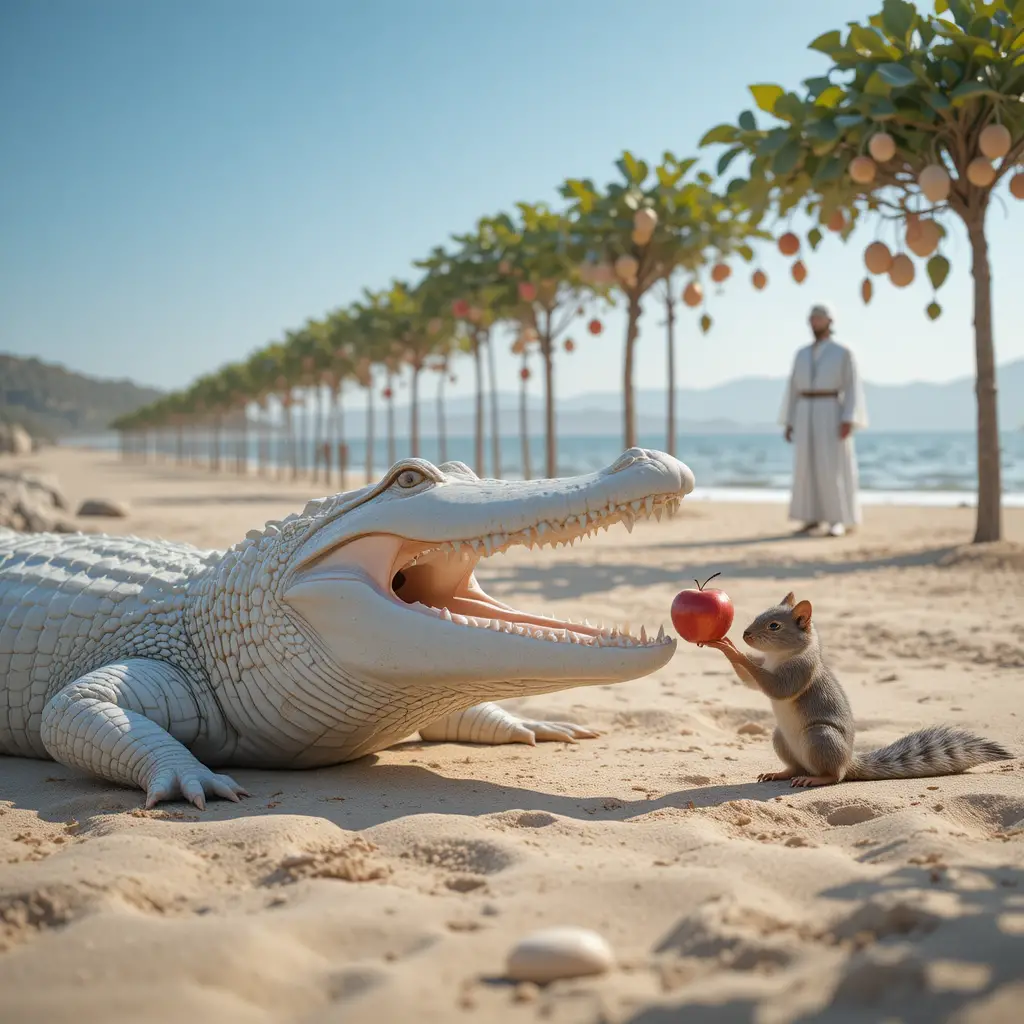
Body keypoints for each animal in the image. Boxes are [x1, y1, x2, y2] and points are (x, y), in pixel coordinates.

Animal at [705, 592, 1013, 788]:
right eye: (760, 615)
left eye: (774, 625)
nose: (745, 634)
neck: (780, 657)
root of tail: (848, 761)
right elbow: (750, 680)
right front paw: (725, 643)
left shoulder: (800, 672)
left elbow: (777, 688)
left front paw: (733, 650)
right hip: (781, 738)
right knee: (795, 767)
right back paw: (780, 773)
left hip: (821, 737)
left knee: (834, 776)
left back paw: (817, 778)